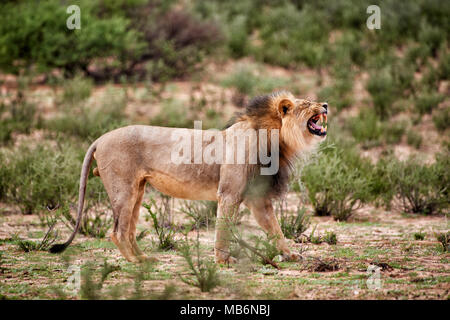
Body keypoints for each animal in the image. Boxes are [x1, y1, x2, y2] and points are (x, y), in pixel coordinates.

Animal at [51, 91, 328, 264]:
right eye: (307, 104)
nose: (325, 105)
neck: (276, 140)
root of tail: (99, 138)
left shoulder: (258, 199)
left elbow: (275, 229)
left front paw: (290, 255)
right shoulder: (229, 193)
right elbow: (223, 228)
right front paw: (223, 260)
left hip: (138, 190)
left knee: (129, 229)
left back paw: (143, 257)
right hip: (123, 189)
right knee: (118, 231)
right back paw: (134, 261)